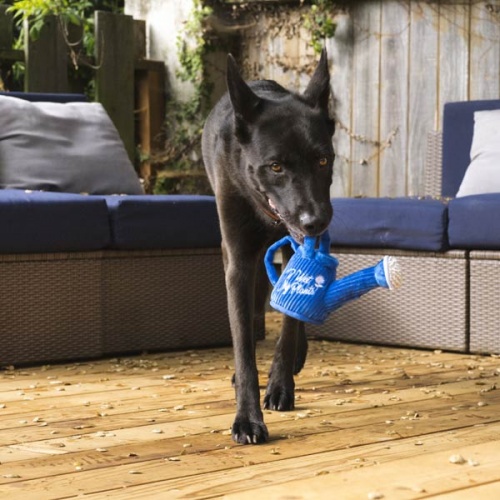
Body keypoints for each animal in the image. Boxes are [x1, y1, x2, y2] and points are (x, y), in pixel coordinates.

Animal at [201, 48, 334, 444]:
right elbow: (243, 342)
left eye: (323, 160)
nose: (315, 222)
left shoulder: (297, 251)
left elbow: (290, 323)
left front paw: (280, 385)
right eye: (275, 167)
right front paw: (247, 417)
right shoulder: (238, 261)